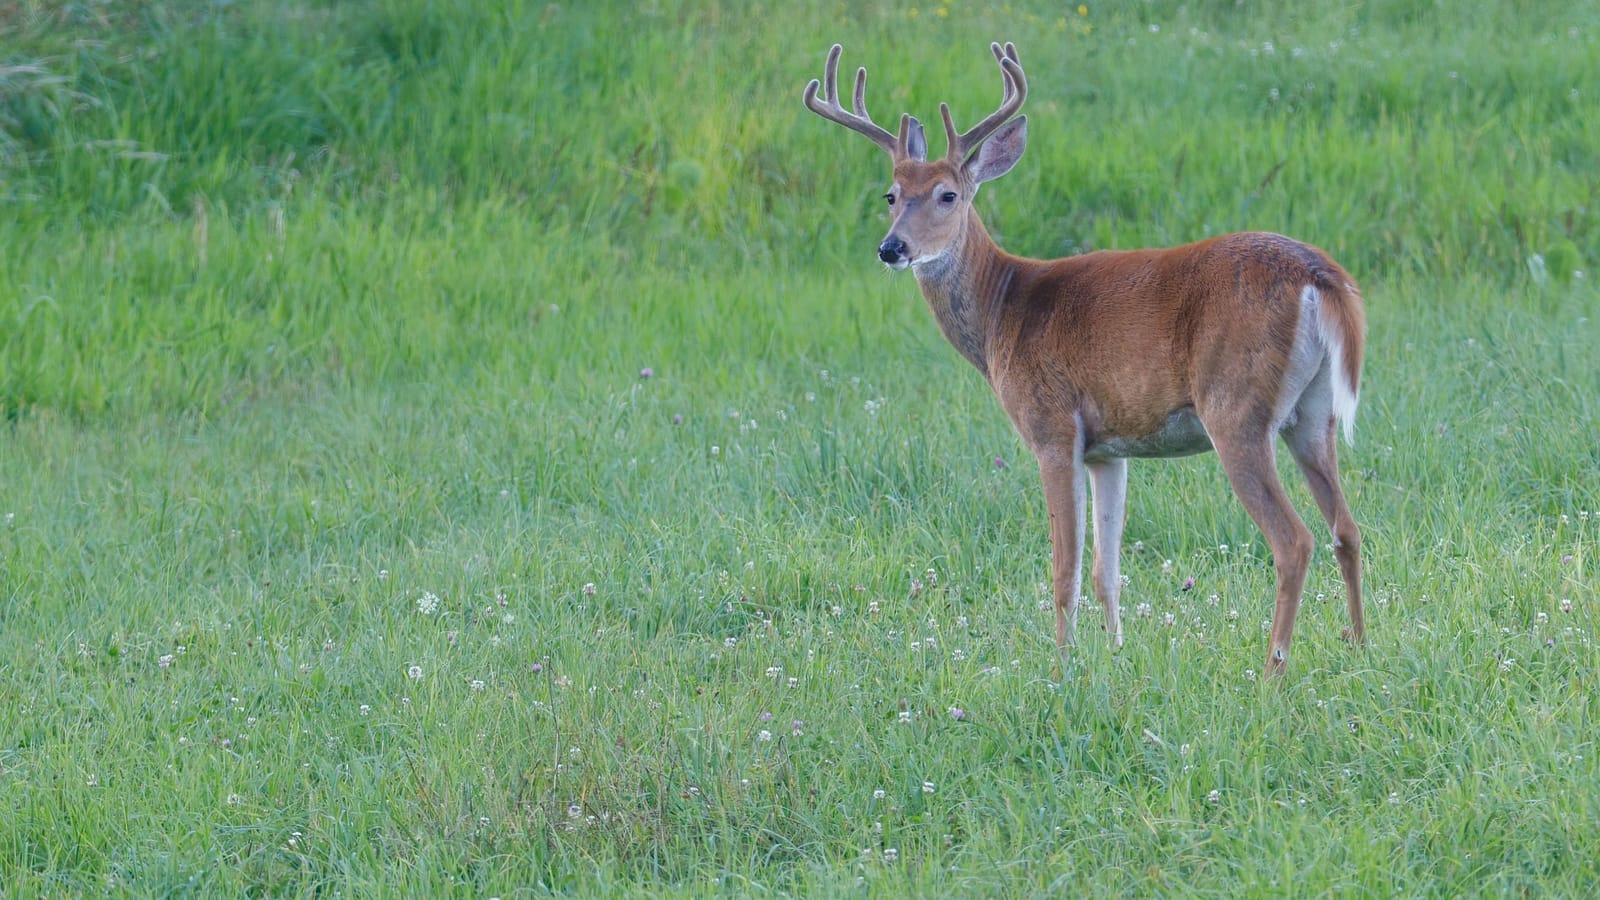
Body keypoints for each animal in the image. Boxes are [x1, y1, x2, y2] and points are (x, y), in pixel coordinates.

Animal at [803, 42, 1366, 675]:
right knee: (1347, 528)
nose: (891, 248)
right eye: (891, 195)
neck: (1003, 310)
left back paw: (1272, 669)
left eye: (948, 194)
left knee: (1294, 540)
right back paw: (1360, 646)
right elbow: (1106, 570)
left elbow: (1064, 569)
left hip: (1236, 408)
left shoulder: (1051, 427)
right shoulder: (1108, 450)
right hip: (1313, 414)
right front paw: (1115, 653)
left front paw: (1061, 664)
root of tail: (1320, 278)